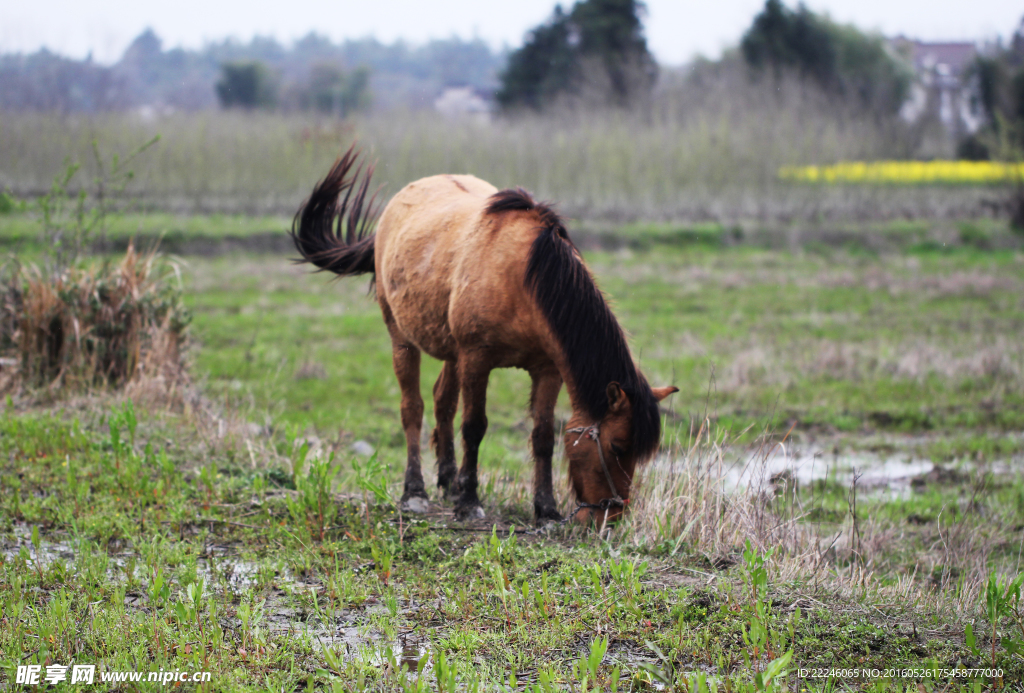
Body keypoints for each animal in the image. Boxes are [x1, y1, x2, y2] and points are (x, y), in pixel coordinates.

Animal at [292, 147, 675, 524]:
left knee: (442, 402)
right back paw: (415, 492)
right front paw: (469, 502)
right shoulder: (477, 358)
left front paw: (546, 509)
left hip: (451, 351)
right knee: (412, 408)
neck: (522, 280)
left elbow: (542, 436)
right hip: (402, 339)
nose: (612, 516)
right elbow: (474, 426)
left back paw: (448, 480)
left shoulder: (547, 369)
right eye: (617, 446)